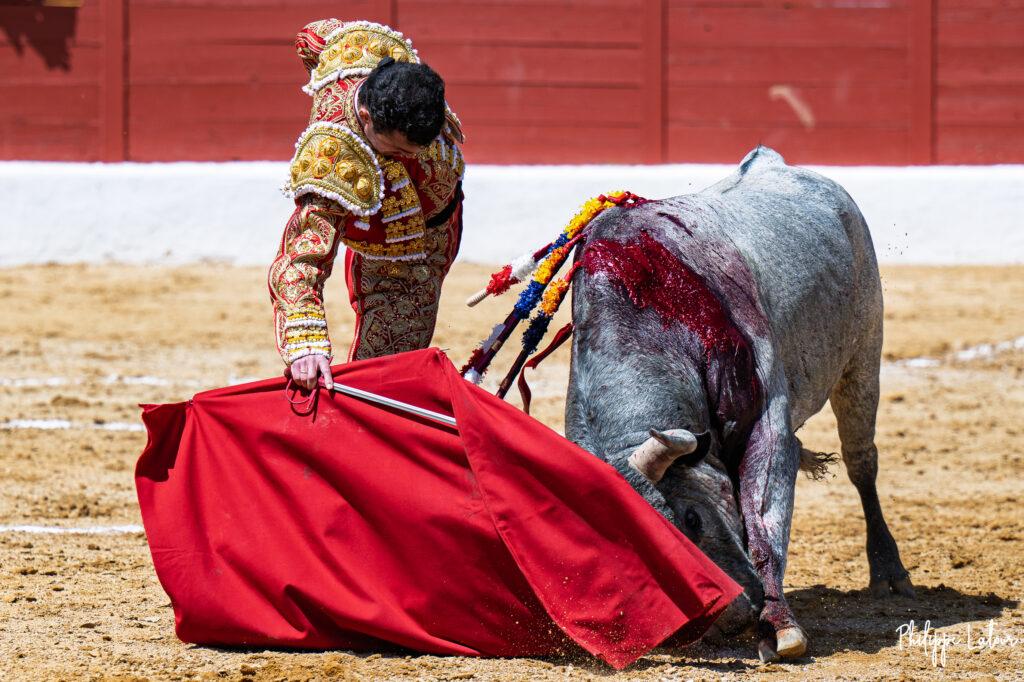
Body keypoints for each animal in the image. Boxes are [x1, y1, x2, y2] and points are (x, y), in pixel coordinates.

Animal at [564, 146, 914, 661]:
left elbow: (763, 518)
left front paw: (781, 626)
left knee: (861, 462)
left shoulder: (766, 423)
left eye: (691, 519)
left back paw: (889, 573)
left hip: (864, 355)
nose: (729, 619)